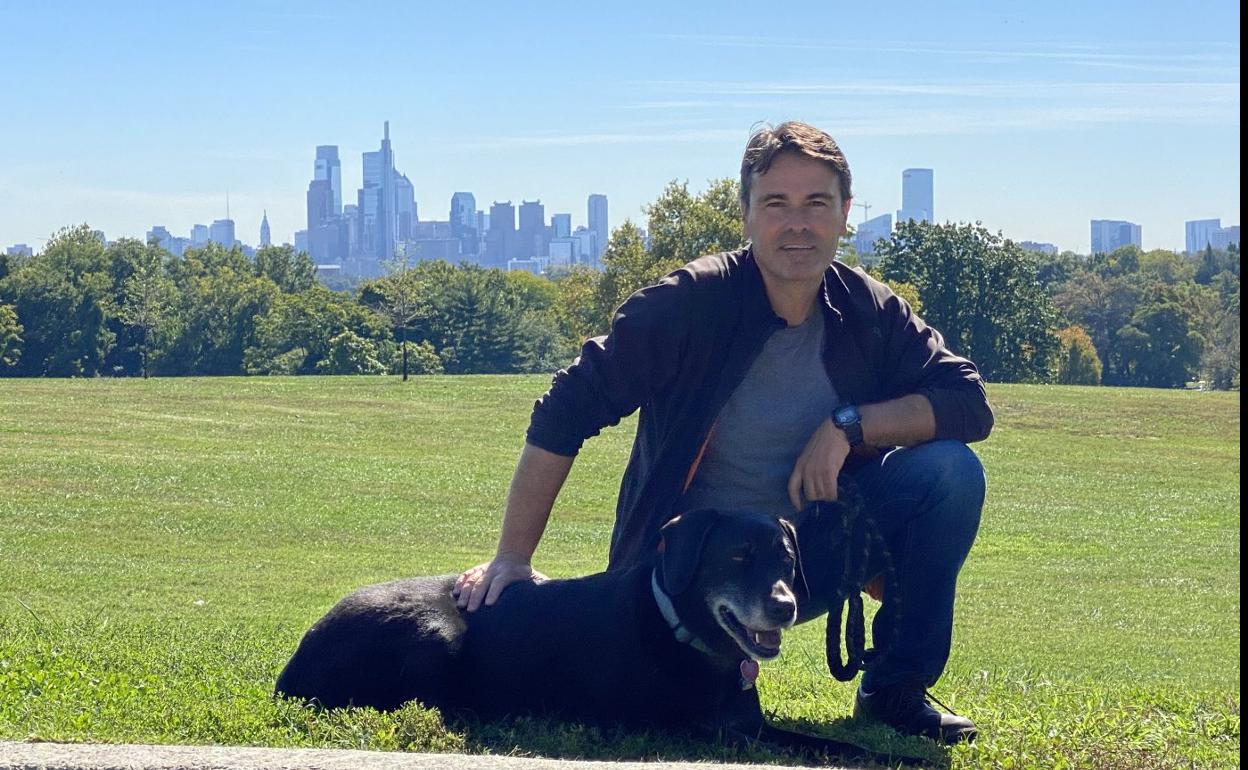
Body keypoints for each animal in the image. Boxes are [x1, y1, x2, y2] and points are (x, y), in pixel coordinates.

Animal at [275, 506, 918, 763]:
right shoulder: (702, 730)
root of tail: (294, 663)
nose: (784, 606)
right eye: (738, 556)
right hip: (437, 634)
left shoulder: (748, 723)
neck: (679, 627)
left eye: (786, 559)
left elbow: (835, 746)